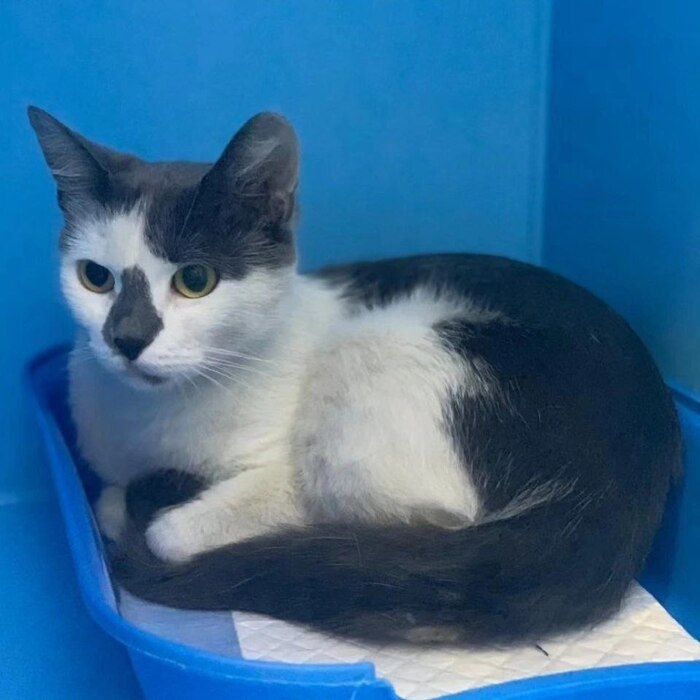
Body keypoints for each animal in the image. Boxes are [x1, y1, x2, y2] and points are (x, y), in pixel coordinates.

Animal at [29, 106, 681, 645]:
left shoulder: (289, 484)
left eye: (195, 280)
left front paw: (147, 513)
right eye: (95, 277)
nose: (126, 339)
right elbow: (109, 492)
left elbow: (164, 529)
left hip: (373, 366)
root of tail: (622, 480)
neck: (156, 425)